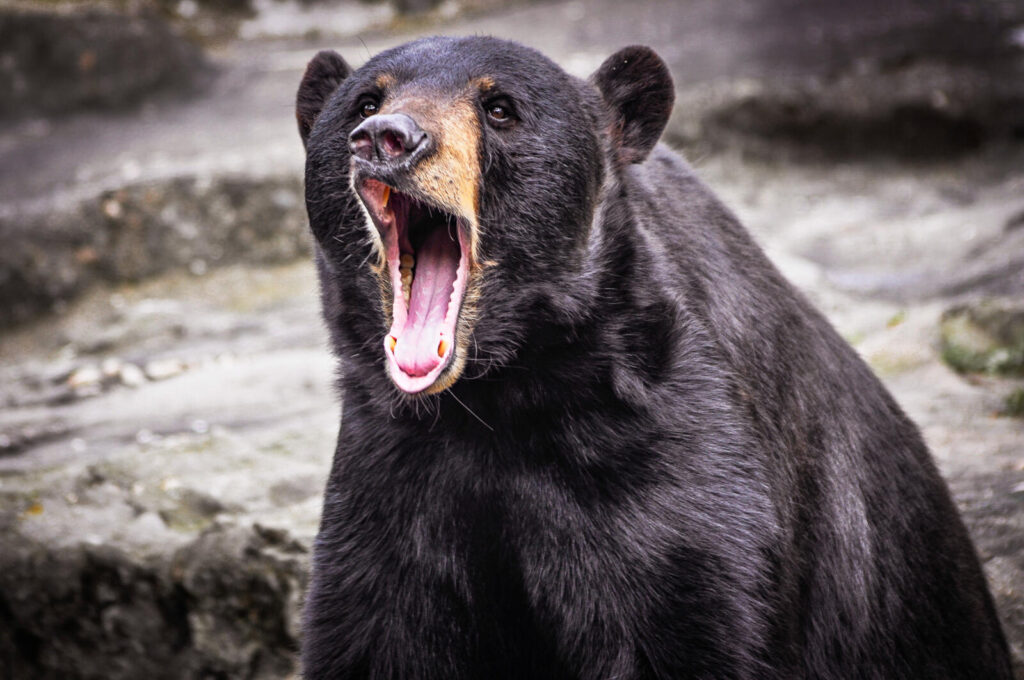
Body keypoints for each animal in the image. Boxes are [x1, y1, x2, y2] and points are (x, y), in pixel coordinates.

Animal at [295, 36, 1013, 679]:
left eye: (499, 107)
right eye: (365, 100)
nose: (387, 138)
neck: (503, 394)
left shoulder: (673, 469)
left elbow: (690, 613)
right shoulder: (394, 481)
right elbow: (376, 635)